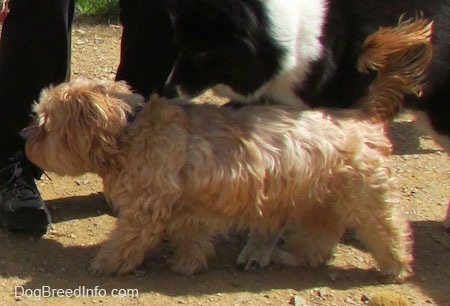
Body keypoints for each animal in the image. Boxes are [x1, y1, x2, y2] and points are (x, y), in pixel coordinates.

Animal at [23, 19, 432, 282]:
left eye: (44, 125)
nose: (25, 135)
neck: (131, 129)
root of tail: (362, 114)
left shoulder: (146, 208)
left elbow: (129, 238)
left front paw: (108, 262)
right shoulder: (186, 204)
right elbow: (190, 236)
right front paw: (188, 263)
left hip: (364, 198)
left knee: (388, 229)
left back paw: (396, 267)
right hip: (321, 198)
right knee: (320, 235)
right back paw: (293, 255)